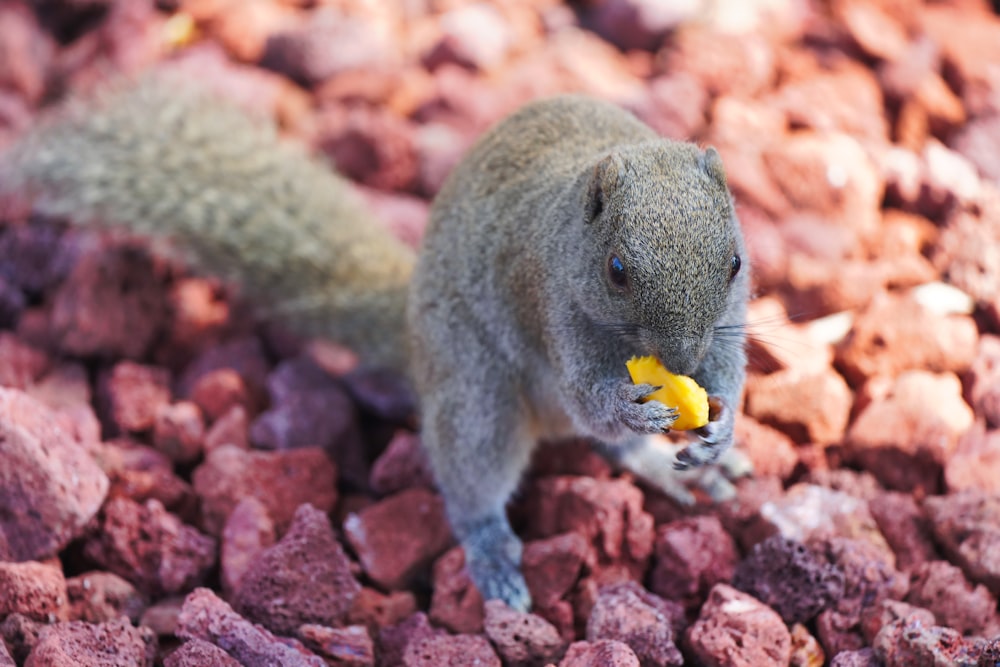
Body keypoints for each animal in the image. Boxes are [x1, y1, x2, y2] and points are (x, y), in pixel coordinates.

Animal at [1, 77, 752, 612]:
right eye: (617, 270)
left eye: (736, 263)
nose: (680, 360)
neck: (567, 225)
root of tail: (412, 332)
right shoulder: (548, 304)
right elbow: (590, 397)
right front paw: (632, 409)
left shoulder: (729, 321)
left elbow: (729, 367)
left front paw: (721, 430)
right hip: (475, 394)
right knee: (481, 468)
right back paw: (492, 553)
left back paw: (675, 467)